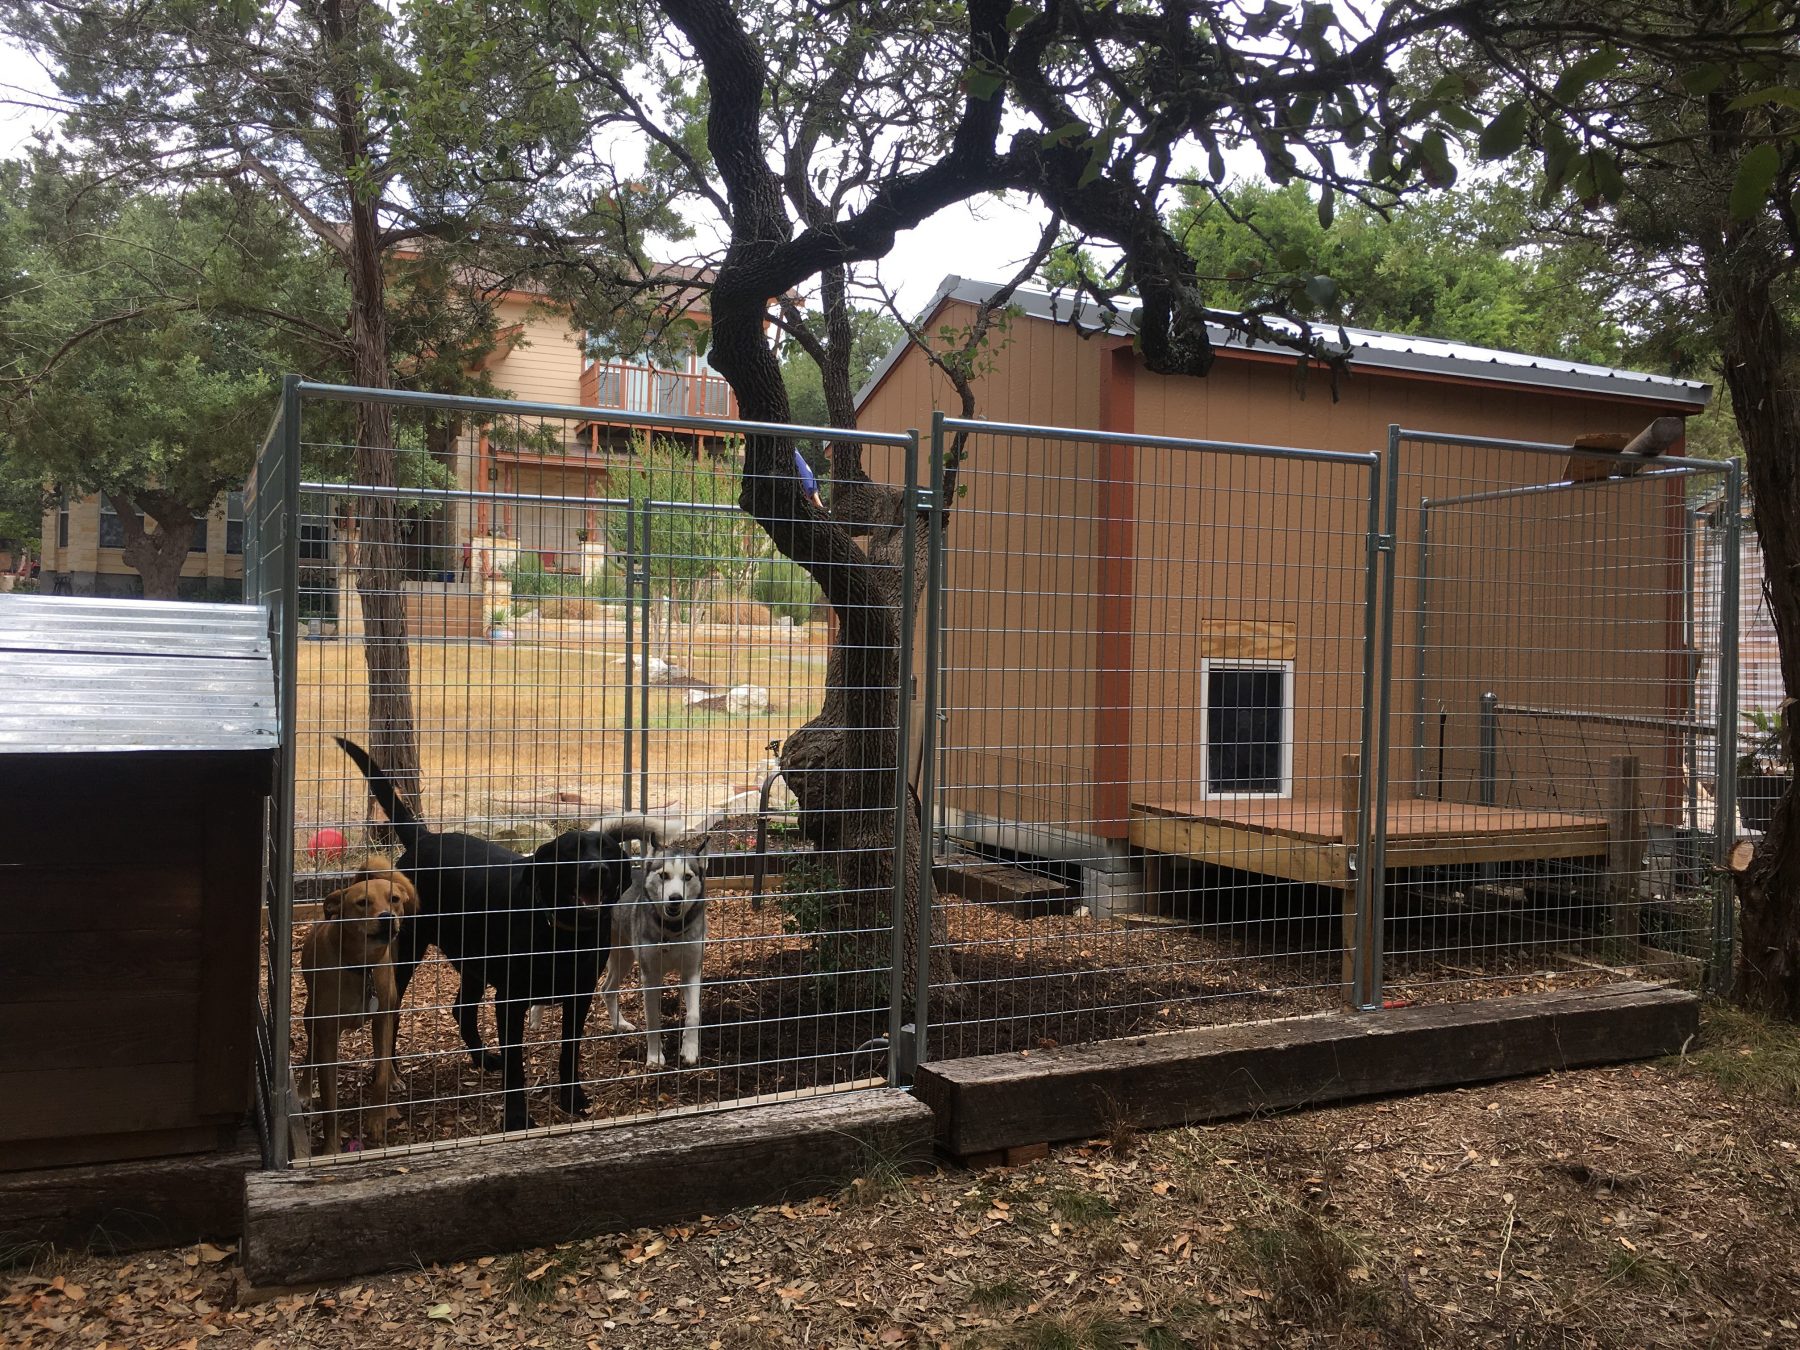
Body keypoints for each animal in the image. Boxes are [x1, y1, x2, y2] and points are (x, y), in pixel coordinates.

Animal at [298, 860, 417, 1159]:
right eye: (363, 903)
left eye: (394, 899)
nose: (387, 917)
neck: (361, 967)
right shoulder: (328, 1033)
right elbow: (329, 1100)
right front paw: (331, 1149)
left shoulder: (382, 1019)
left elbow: (381, 1071)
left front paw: (376, 1120)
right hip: (309, 1016)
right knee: (310, 1051)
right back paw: (303, 1091)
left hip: (392, 1009)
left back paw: (394, 1081)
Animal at [334, 741, 651, 1130]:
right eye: (570, 852)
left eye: (607, 851)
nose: (599, 870)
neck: (562, 932)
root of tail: (425, 837)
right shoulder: (510, 1001)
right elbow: (516, 1066)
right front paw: (516, 1117)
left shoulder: (579, 995)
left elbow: (569, 1052)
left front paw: (571, 1098)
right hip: (406, 953)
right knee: (392, 1014)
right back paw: (392, 1075)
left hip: (474, 958)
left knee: (461, 1008)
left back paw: (482, 1057)